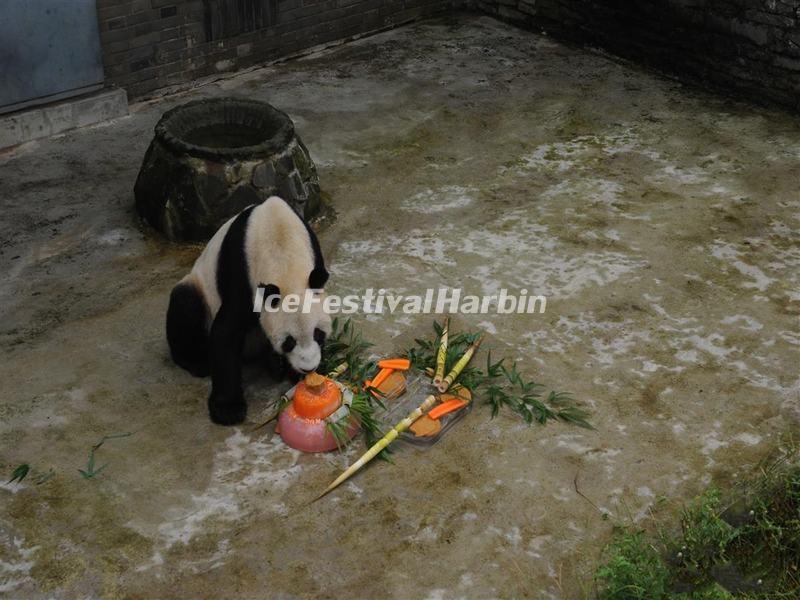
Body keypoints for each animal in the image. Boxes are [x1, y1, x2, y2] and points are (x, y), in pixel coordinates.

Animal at [166, 197, 332, 426]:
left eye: (318, 334)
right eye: (289, 341)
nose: (308, 368)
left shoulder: (313, 255)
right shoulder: (242, 274)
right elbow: (226, 332)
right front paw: (228, 410)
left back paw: (275, 366)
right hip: (199, 289)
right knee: (185, 305)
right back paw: (196, 362)